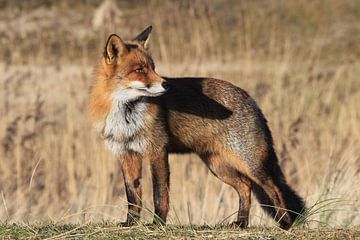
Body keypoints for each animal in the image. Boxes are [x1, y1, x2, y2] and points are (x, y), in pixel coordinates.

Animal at [89, 25, 304, 229]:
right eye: (140, 70)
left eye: (153, 67)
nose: (166, 85)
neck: (126, 115)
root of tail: (251, 99)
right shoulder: (126, 153)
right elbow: (133, 196)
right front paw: (130, 222)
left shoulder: (157, 150)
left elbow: (160, 193)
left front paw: (158, 223)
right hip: (217, 165)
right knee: (245, 186)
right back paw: (242, 223)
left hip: (249, 164)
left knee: (273, 188)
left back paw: (285, 223)